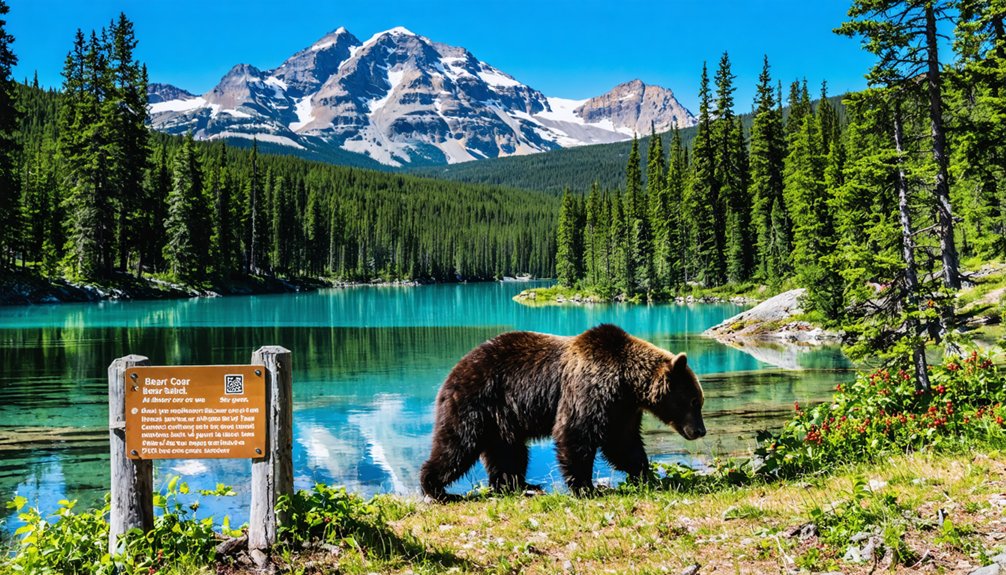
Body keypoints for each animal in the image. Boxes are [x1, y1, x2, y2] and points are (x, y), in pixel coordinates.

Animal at [419, 323, 706, 500]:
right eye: (694, 401)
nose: (700, 431)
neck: (626, 382)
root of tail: (455, 369)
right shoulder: (589, 391)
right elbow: (575, 433)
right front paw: (586, 487)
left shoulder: (621, 409)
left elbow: (623, 444)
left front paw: (645, 474)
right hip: (476, 404)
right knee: (457, 446)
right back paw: (437, 489)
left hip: (502, 420)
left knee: (509, 452)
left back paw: (521, 485)